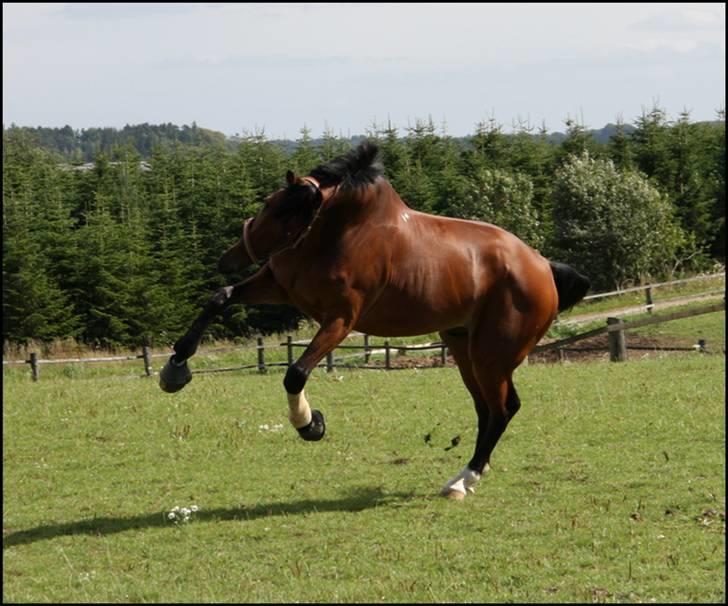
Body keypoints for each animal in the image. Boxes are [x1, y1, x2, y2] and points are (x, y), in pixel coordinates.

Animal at [156, 141, 588, 498]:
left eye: (282, 212)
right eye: (268, 203)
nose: (227, 259)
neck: (337, 236)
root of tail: (542, 266)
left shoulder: (340, 321)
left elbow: (295, 373)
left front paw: (310, 424)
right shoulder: (279, 286)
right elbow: (219, 298)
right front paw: (175, 370)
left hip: (491, 355)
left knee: (502, 409)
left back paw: (464, 480)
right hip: (463, 346)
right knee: (486, 409)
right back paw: (461, 478)